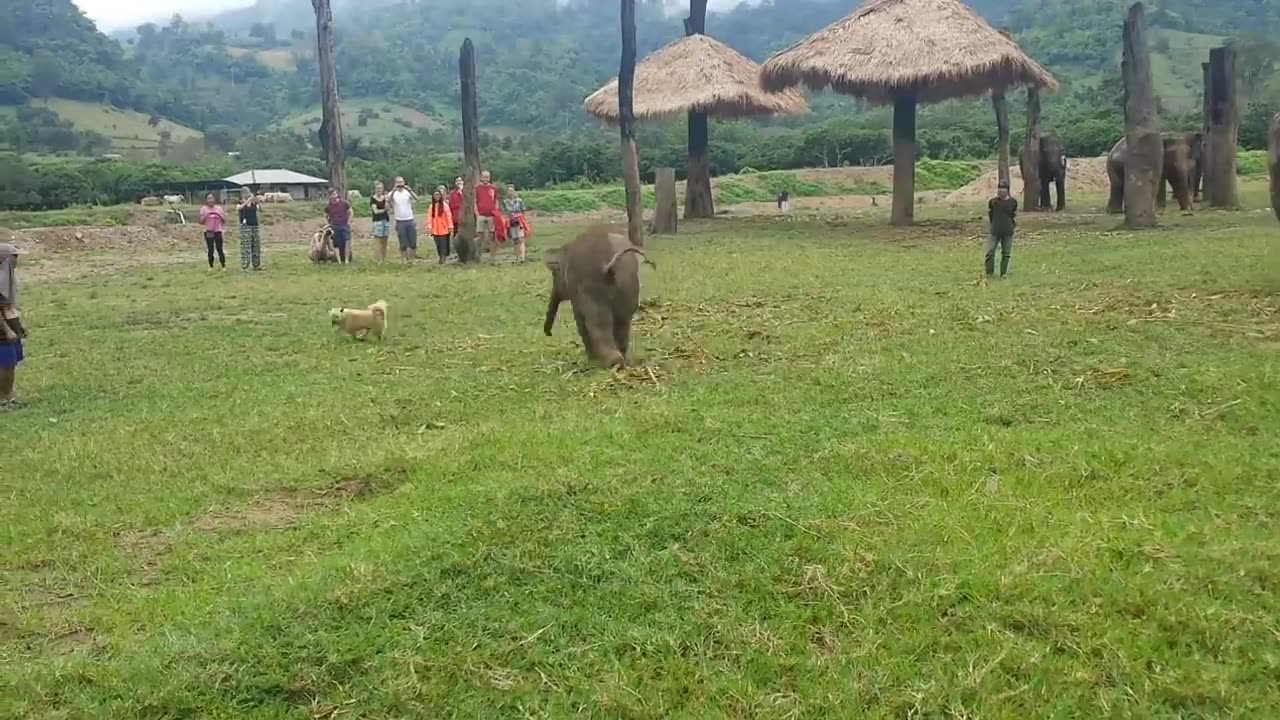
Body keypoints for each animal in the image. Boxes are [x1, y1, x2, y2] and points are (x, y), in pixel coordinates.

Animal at [544, 225, 654, 368]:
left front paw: (591, 360)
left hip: (595, 287)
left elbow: (580, 319)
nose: (549, 333)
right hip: (628, 285)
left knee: (598, 323)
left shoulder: (576, 289)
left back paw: (613, 362)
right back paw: (622, 360)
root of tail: (608, 266)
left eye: (554, 274)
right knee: (623, 321)